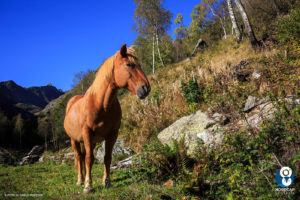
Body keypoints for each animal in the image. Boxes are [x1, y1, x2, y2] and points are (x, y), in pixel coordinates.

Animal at [64, 44, 151, 194]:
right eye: (129, 64)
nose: (146, 88)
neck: (100, 104)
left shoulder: (112, 135)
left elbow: (107, 158)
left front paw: (106, 182)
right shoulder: (87, 133)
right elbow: (88, 159)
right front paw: (88, 186)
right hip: (74, 140)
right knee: (79, 157)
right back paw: (80, 180)